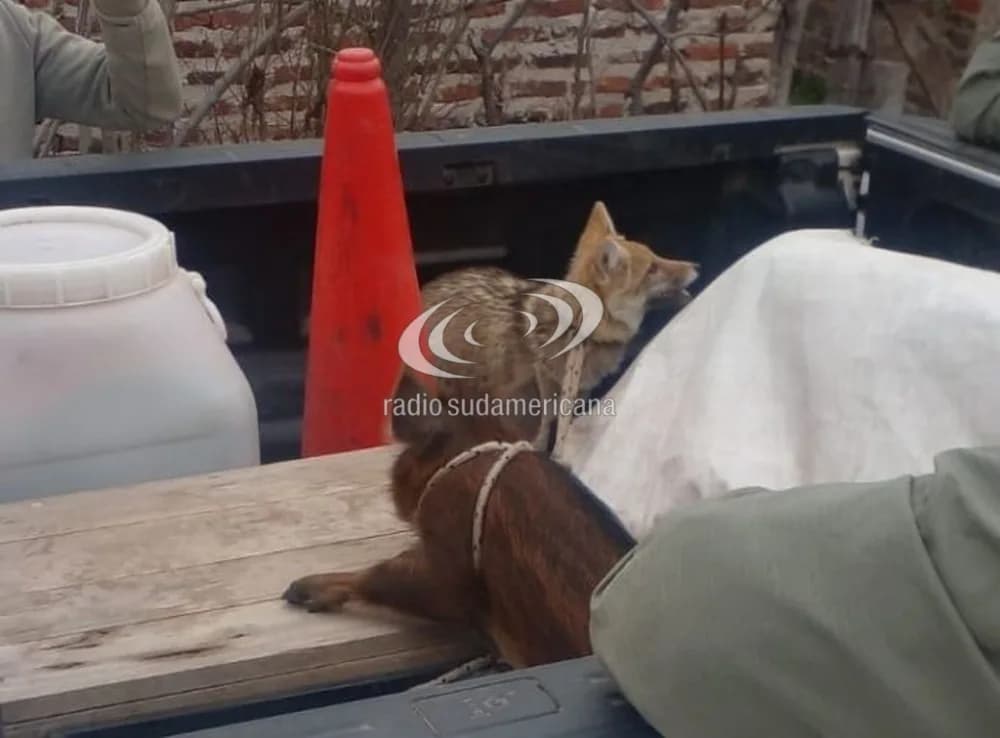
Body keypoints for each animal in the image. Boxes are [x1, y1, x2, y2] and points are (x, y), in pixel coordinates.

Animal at [388, 200, 699, 450]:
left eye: (656, 257)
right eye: (651, 270)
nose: (696, 266)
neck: (578, 333)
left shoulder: (572, 399)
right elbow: (538, 439)